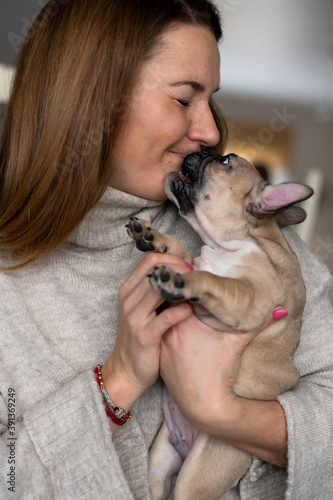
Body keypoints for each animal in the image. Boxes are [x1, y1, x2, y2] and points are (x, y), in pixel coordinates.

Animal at [126, 152, 312, 500]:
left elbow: (214, 281)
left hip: (197, 476)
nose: (196, 153)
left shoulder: (248, 300)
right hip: (159, 464)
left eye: (225, 161)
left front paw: (181, 280)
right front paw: (152, 236)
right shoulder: (195, 261)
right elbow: (181, 252)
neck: (237, 243)